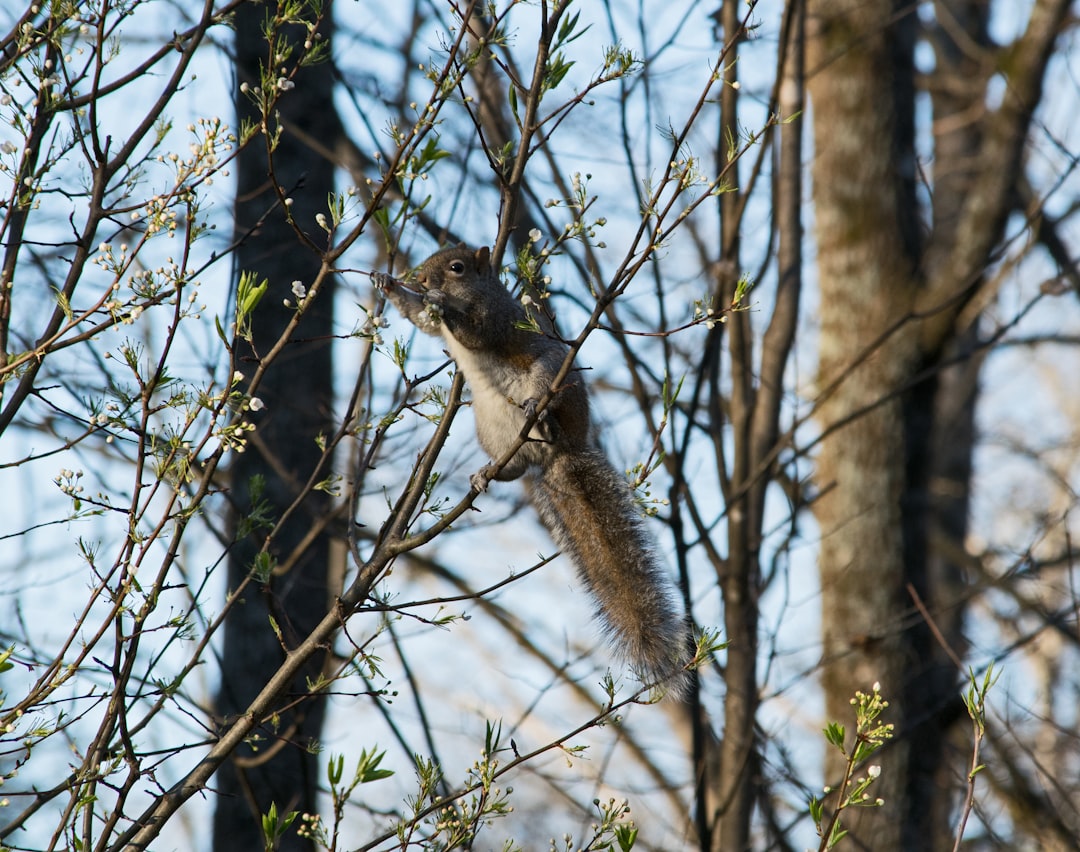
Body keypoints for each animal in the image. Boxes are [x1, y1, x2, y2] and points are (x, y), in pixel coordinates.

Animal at [372, 245, 690, 696]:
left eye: (457, 268)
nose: (422, 279)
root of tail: (558, 453)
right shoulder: (436, 328)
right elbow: (421, 319)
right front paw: (389, 284)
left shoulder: (497, 318)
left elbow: (477, 333)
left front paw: (438, 302)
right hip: (492, 429)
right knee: (516, 466)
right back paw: (488, 473)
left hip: (550, 376)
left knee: (544, 402)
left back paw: (543, 420)